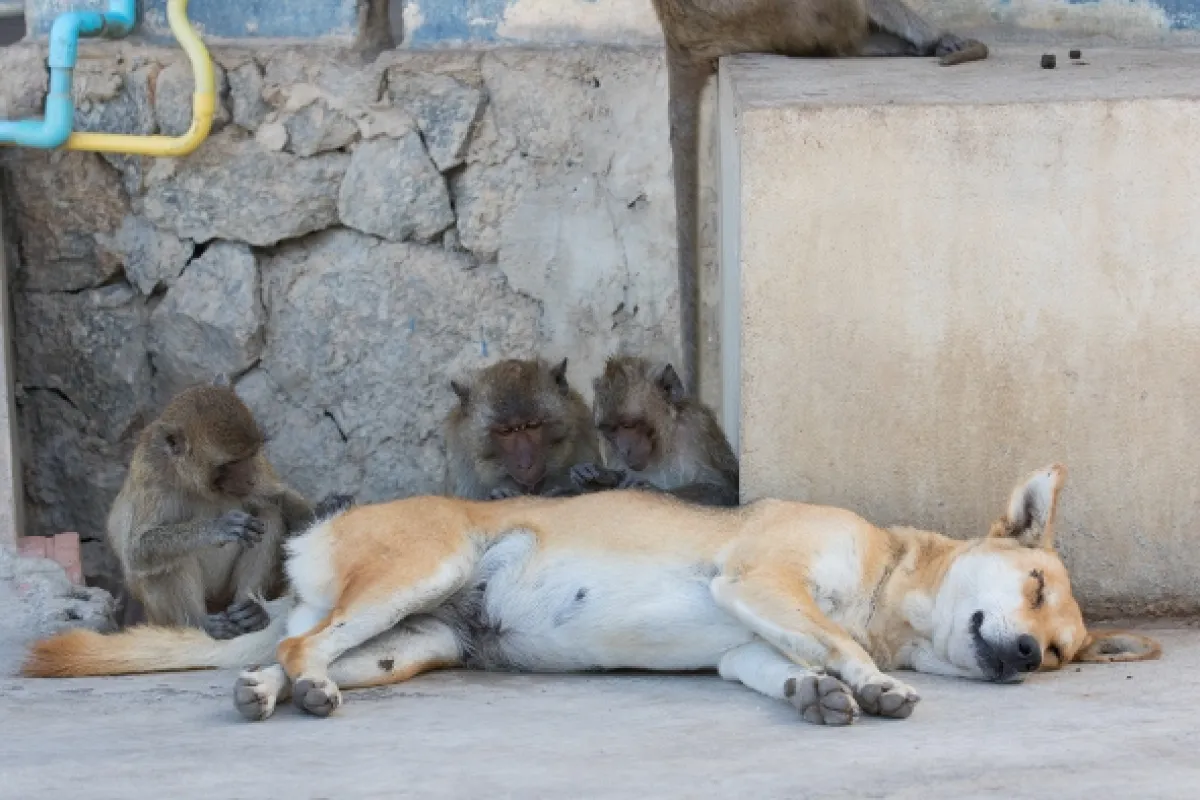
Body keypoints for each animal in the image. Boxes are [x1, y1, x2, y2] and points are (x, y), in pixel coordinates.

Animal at [106, 381, 319, 640]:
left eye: (251, 455)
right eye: (230, 463)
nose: (250, 479)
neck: (195, 483)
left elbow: (281, 499)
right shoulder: (151, 471)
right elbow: (136, 551)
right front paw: (217, 528)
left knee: (268, 514)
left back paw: (250, 610)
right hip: (165, 617)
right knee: (169, 558)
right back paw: (202, 624)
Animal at [571, 355, 739, 507]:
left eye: (628, 425)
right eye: (611, 430)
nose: (624, 450)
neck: (662, 446)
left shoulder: (696, 428)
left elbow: (724, 490)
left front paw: (647, 488)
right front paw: (592, 476)